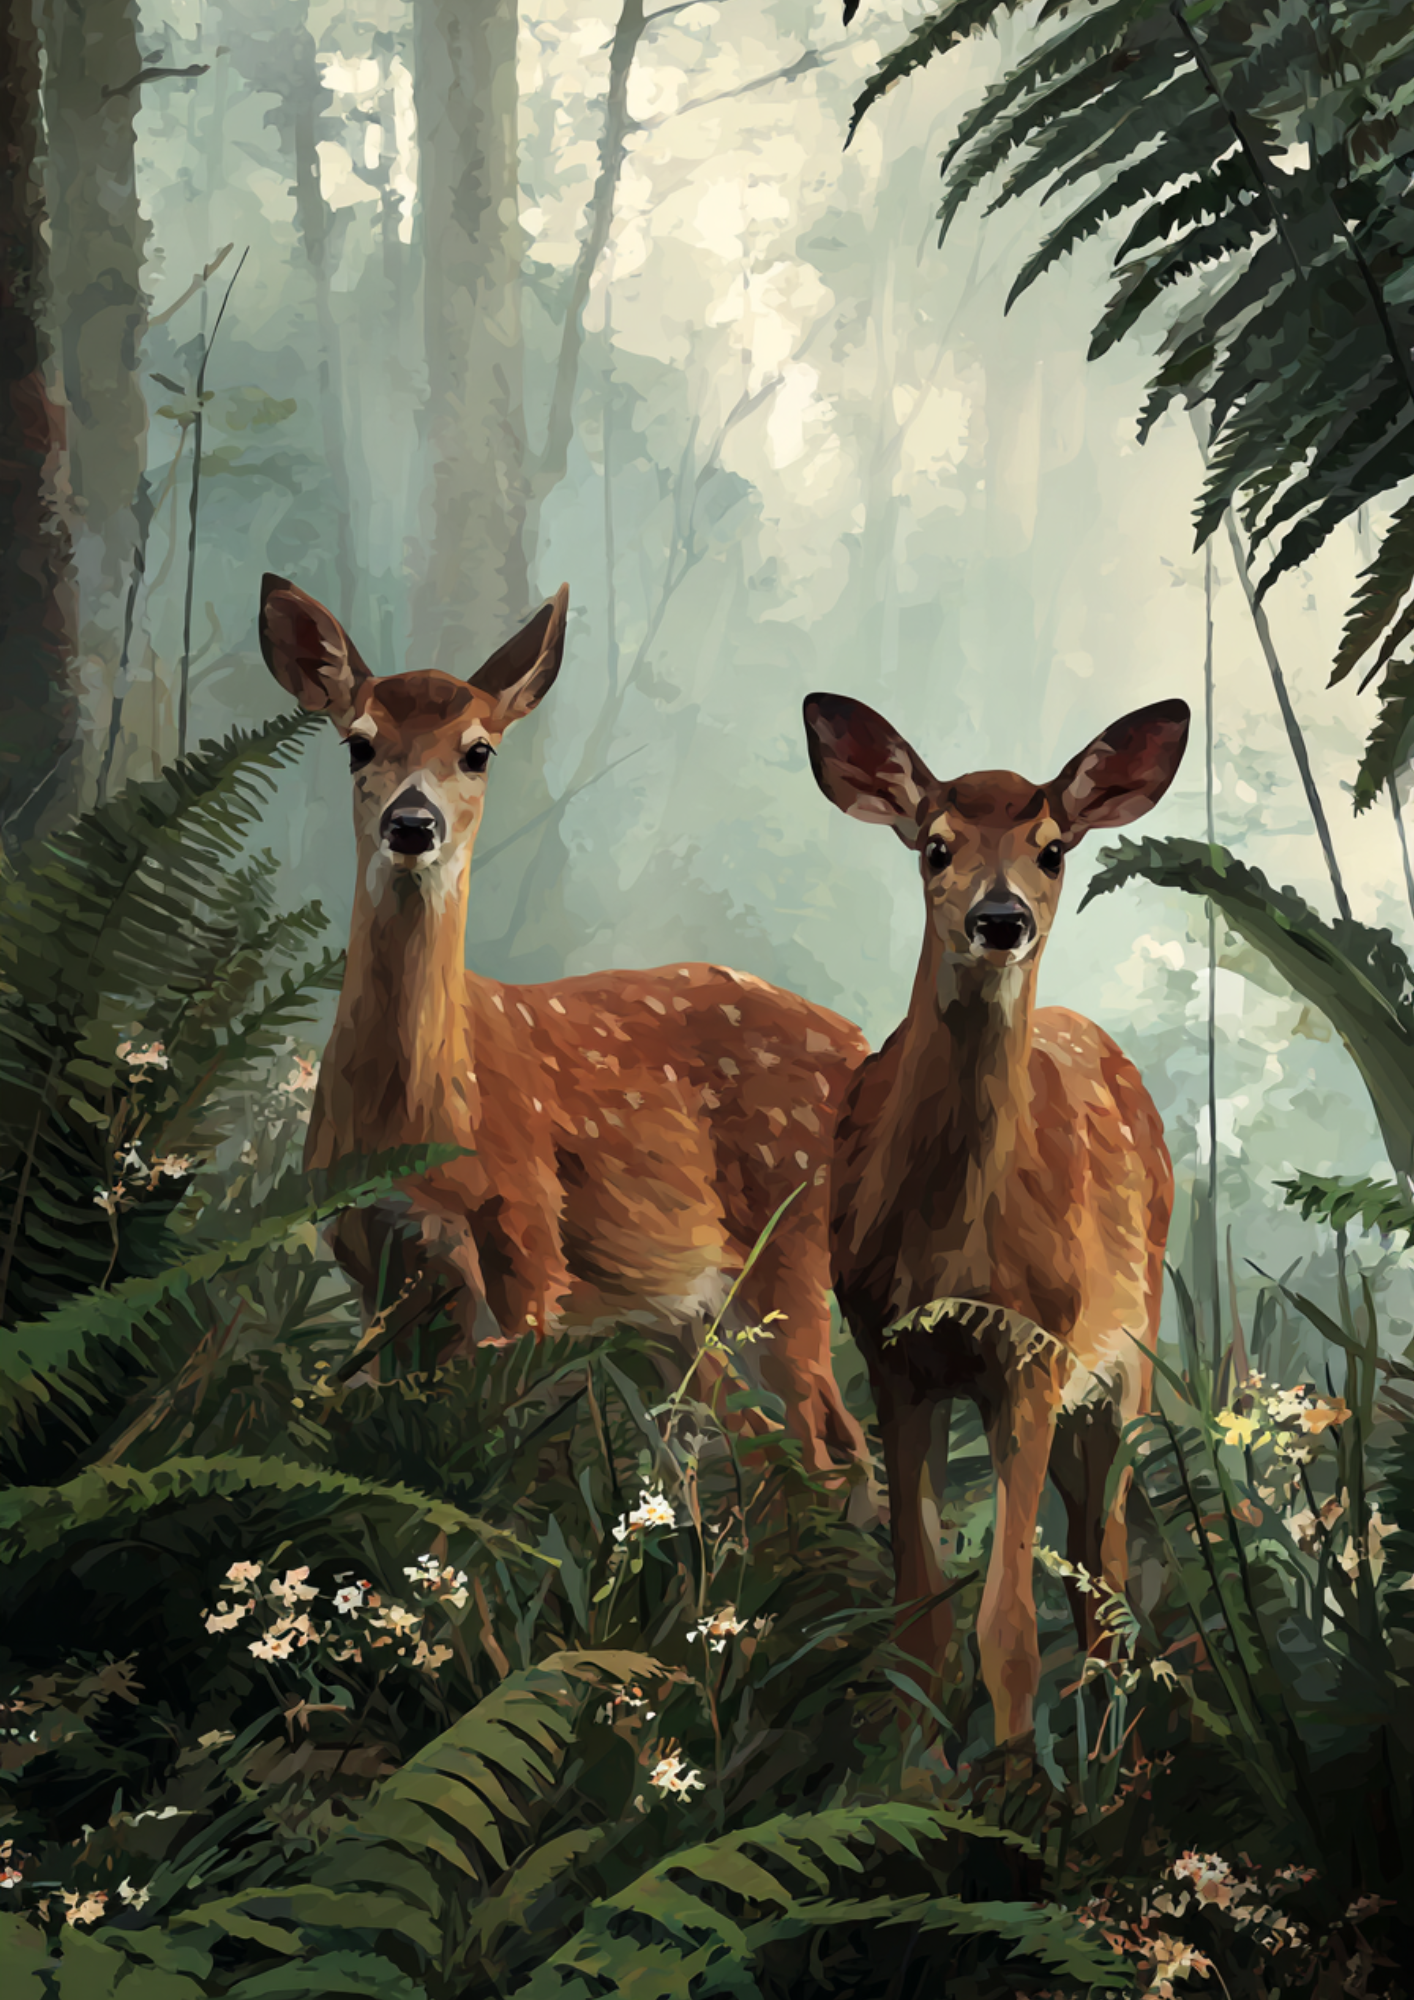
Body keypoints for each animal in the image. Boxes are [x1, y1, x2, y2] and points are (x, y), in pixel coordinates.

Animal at [256, 572, 872, 1482]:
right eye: (358, 744)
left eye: (479, 750)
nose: (413, 824)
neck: (415, 1125)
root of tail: (864, 1045)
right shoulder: (372, 1255)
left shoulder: (528, 1240)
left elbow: (495, 1451)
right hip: (676, 1310)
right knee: (757, 1444)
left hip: (788, 1246)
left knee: (829, 1439)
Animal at [801, 691, 1189, 1744]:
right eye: (934, 846)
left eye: (1053, 849)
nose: (1000, 917)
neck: (951, 1252)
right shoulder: (890, 1352)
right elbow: (920, 1625)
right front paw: (921, 1775)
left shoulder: (1034, 1351)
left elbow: (1006, 1629)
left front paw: (1010, 1779)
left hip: (1126, 1359)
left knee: (1107, 1569)